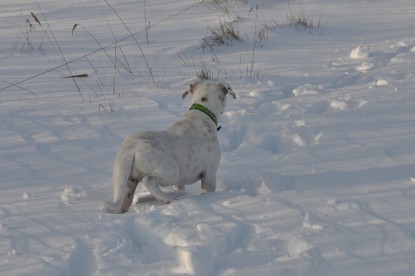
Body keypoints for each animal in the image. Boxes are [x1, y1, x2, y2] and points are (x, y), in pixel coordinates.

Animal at [106, 82, 237, 213]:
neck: (202, 113)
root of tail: (131, 149)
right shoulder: (209, 174)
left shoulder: (181, 182)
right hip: (171, 172)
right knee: (148, 180)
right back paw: (168, 199)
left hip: (125, 179)